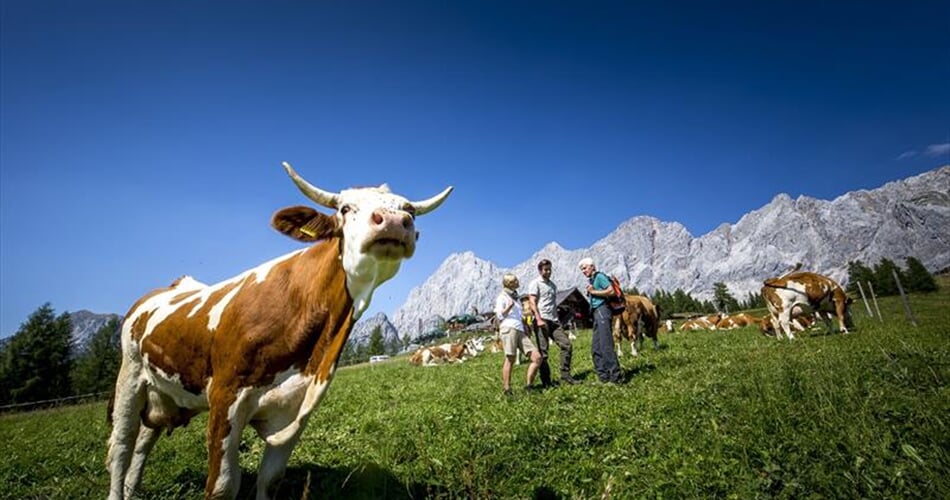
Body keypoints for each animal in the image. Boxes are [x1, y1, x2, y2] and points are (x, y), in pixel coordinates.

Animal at [106, 162, 456, 498]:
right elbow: (222, 486)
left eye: (409, 210)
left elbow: (271, 479)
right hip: (130, 379)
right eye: (345, 208)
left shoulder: (297, 408)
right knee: (121, 446)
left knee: (143, 442)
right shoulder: (225, 396)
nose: (395, 222)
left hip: (163, 393)